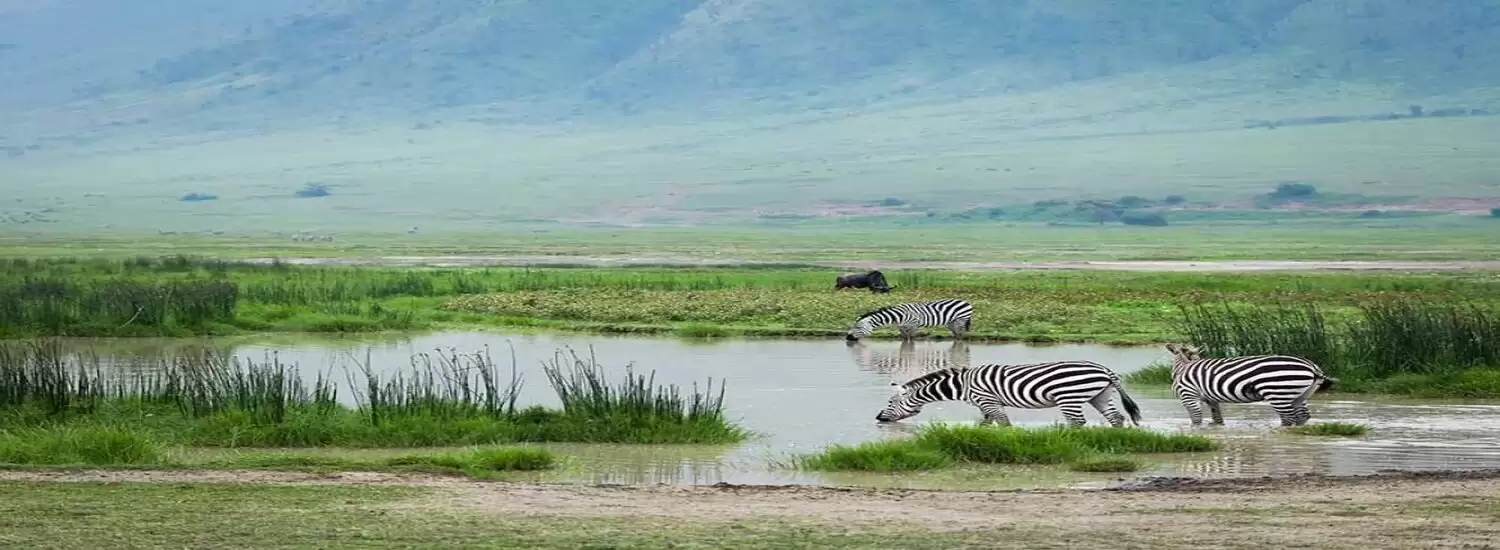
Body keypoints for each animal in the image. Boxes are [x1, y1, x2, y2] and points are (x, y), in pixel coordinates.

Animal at [845, 298, 974, 342]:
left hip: (960, 320)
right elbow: (905, 339)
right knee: (956, 334)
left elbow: (910, 339)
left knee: (961, 334)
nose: (848, 338)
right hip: (951, 322)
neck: (898, 317)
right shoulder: (901, 327)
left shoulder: (913, 326)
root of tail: (966, 302)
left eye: (858, 327)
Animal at [1164, 343, 1337, 427]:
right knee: (1302, 417)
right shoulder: (1210, 398)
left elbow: (1196, 419)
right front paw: (1215, 427)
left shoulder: (1188, 395)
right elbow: (1217, 417)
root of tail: (1312, 366)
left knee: (1288, 418)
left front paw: (1195, 431)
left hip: (1278, 392)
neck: (1183, 367)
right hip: (1301, 394)